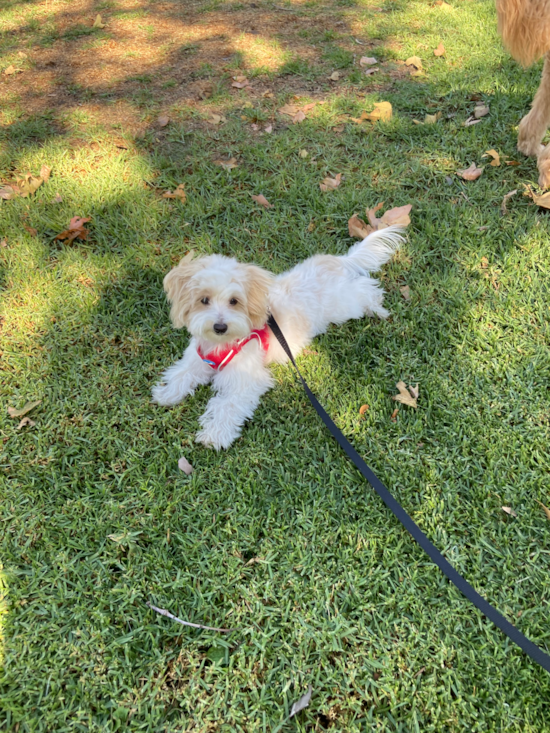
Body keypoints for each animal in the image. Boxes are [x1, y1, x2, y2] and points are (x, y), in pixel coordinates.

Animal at [153, 226, 404, 448]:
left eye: (234, 301)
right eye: (204, 300)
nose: (220, 326)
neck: (222, 343)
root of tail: (335, 261)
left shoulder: (245, 380)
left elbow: (227, 405)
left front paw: (214, 435)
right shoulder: (197, 358)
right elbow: (181, 374)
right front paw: (166, 393)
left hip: (345, 304)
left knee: (365, 288)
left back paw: (377, 308)